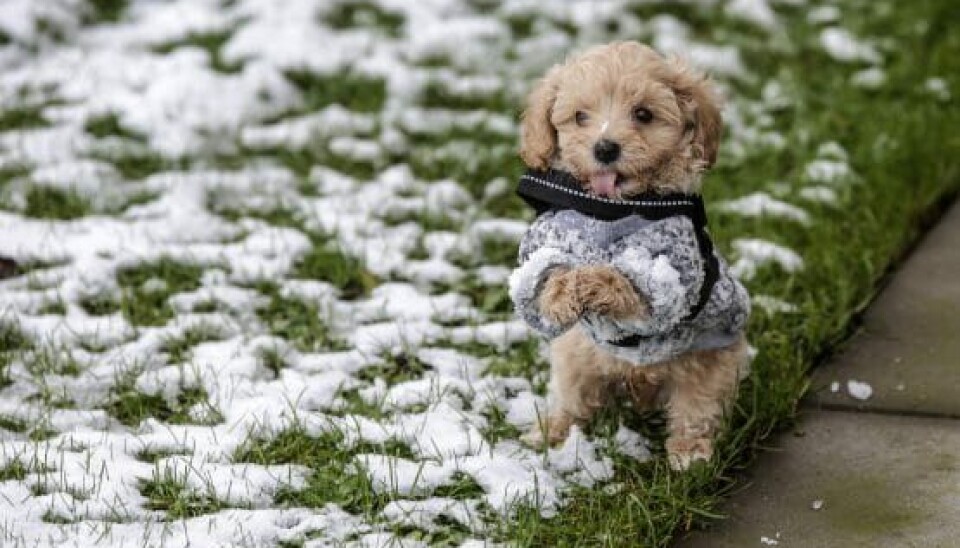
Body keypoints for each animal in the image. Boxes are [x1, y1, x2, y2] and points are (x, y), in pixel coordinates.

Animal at [510, 42, 752, 470]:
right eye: (580, 117)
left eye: (643, 114)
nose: (605, 148)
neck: (613, 208)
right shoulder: (546, 236)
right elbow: (545, 268)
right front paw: (561, 295)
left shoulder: (672, 270)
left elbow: (628, 281)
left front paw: (591, 281)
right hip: (575, 354)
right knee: (575, 400)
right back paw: (551, 432)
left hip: (711, 362)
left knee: (697, 409)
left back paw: (690, 453)